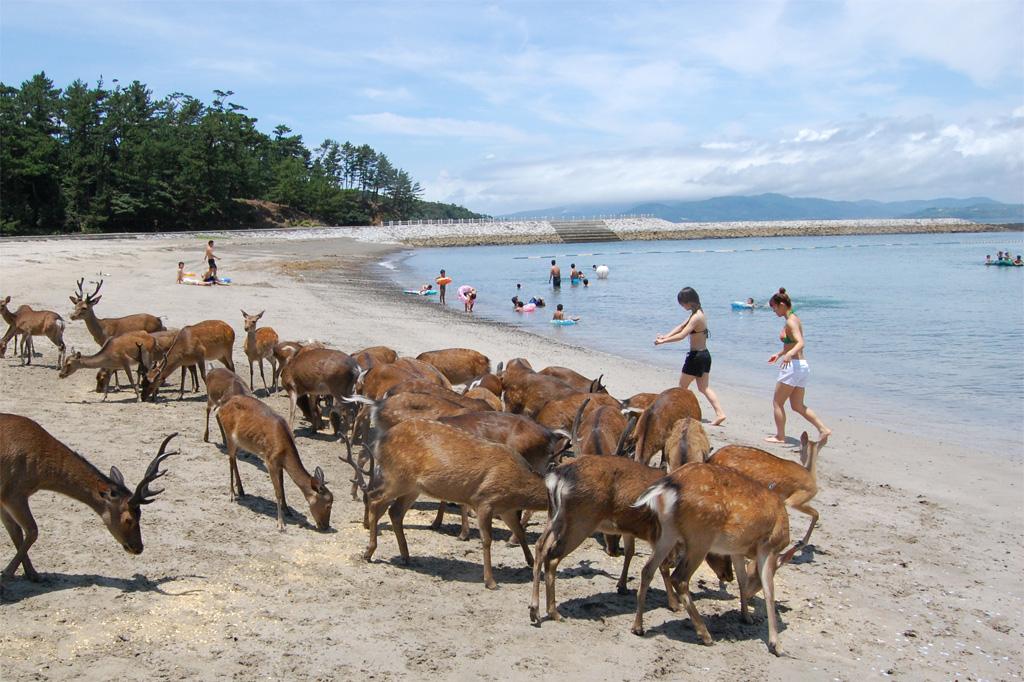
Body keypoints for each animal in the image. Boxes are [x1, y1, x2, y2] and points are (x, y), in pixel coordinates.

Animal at [0, 411, 176, 581]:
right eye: (129, 519)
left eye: (141, 515)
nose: (138, 548)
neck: (39, 473)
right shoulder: (14, 493)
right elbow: (32, 530)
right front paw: (8, 573)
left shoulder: (4, 496)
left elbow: (15, 530)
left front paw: (33, 575)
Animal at [217, 393, 335, 532]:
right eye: (328, 505)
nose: (326, 526)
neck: (284, 449)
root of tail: (222, 406)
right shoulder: (270, 461)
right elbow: (277, 491)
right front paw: (280, 524)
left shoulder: (280, 464)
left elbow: (282, 486)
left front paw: (288, 510)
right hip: (229, 435)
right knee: (230, 460)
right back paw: (232, 494)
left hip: (239, 442)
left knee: (234, 459)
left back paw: (241, 491)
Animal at [342, 417, 552, 585]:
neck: (520, 484)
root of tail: (382, 439)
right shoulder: (485, 500)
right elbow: (486, 540)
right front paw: (490, 581)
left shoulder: (506, 508)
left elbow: (520, 531)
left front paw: (532, 564)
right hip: (397, 477)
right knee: (375, 500)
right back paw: (369, 552)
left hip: (413, 487)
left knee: (395, 511)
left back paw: (406, 556)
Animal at [630, 458, 790, 655]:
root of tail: (668, 485)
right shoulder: (769, 547)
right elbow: (769, 590)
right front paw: (776, 645)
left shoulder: (736, 550)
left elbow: (742, 580)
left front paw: (747, 617)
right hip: (701, 537)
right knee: (679, 578)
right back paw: (705, 635)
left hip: (668, 532)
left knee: (647, 570)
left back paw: (638, 627)